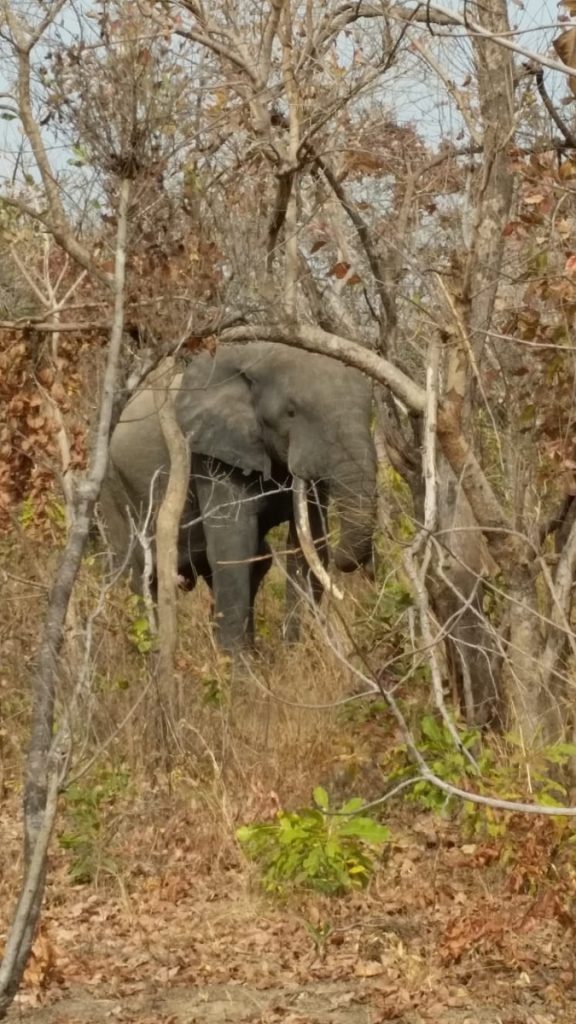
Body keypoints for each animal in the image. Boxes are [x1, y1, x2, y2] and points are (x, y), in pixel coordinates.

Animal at [98, 339, 377, 651]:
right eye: (291, 412)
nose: (367, 570)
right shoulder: (211, 455)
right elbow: (234, 546)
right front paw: (240, 665)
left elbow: (308, 544)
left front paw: (295, 651)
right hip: (113, 490)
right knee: (137, 575)